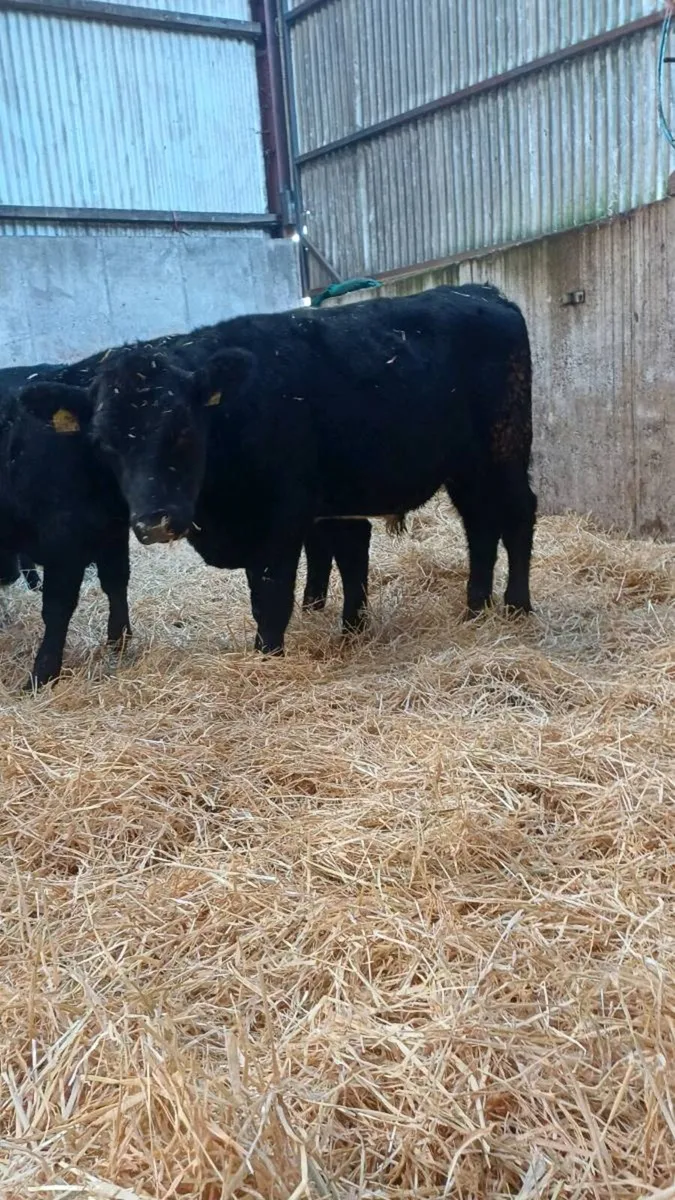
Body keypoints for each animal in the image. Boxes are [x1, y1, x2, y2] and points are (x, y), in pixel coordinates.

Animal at [31, 284, 536, 657]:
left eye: (183, 429)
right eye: (103, 444)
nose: (155, 521)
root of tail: (482, 292)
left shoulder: (280, 520)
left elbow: (271, 599)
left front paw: (267, 656)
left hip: (504, 450)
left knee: (517, 516)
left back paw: (517, 606)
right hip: (465, 467)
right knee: (479, 526)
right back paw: (475, 608)